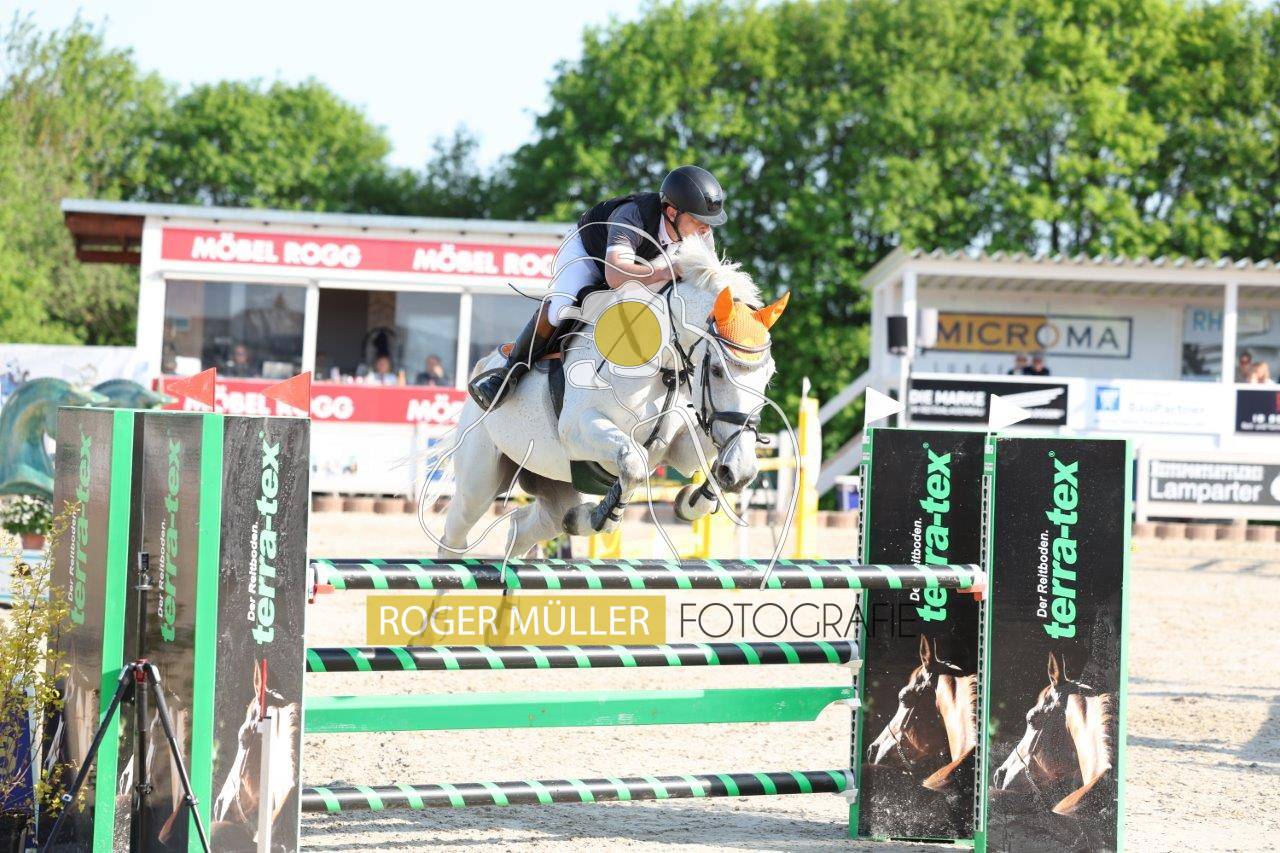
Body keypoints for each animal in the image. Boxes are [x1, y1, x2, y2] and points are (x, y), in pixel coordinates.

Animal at [437, 238, 791, 558]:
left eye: (769, 375)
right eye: (716, 370)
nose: (741, 471)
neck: (660, 368)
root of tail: (486, 363)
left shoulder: (678, 448)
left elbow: (700, 457)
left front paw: (694, 501)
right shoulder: (579, 429)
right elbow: (632, 464)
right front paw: (599, 517)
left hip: (551, 482)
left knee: (526, 528)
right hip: (478, 485)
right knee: (455, 538)